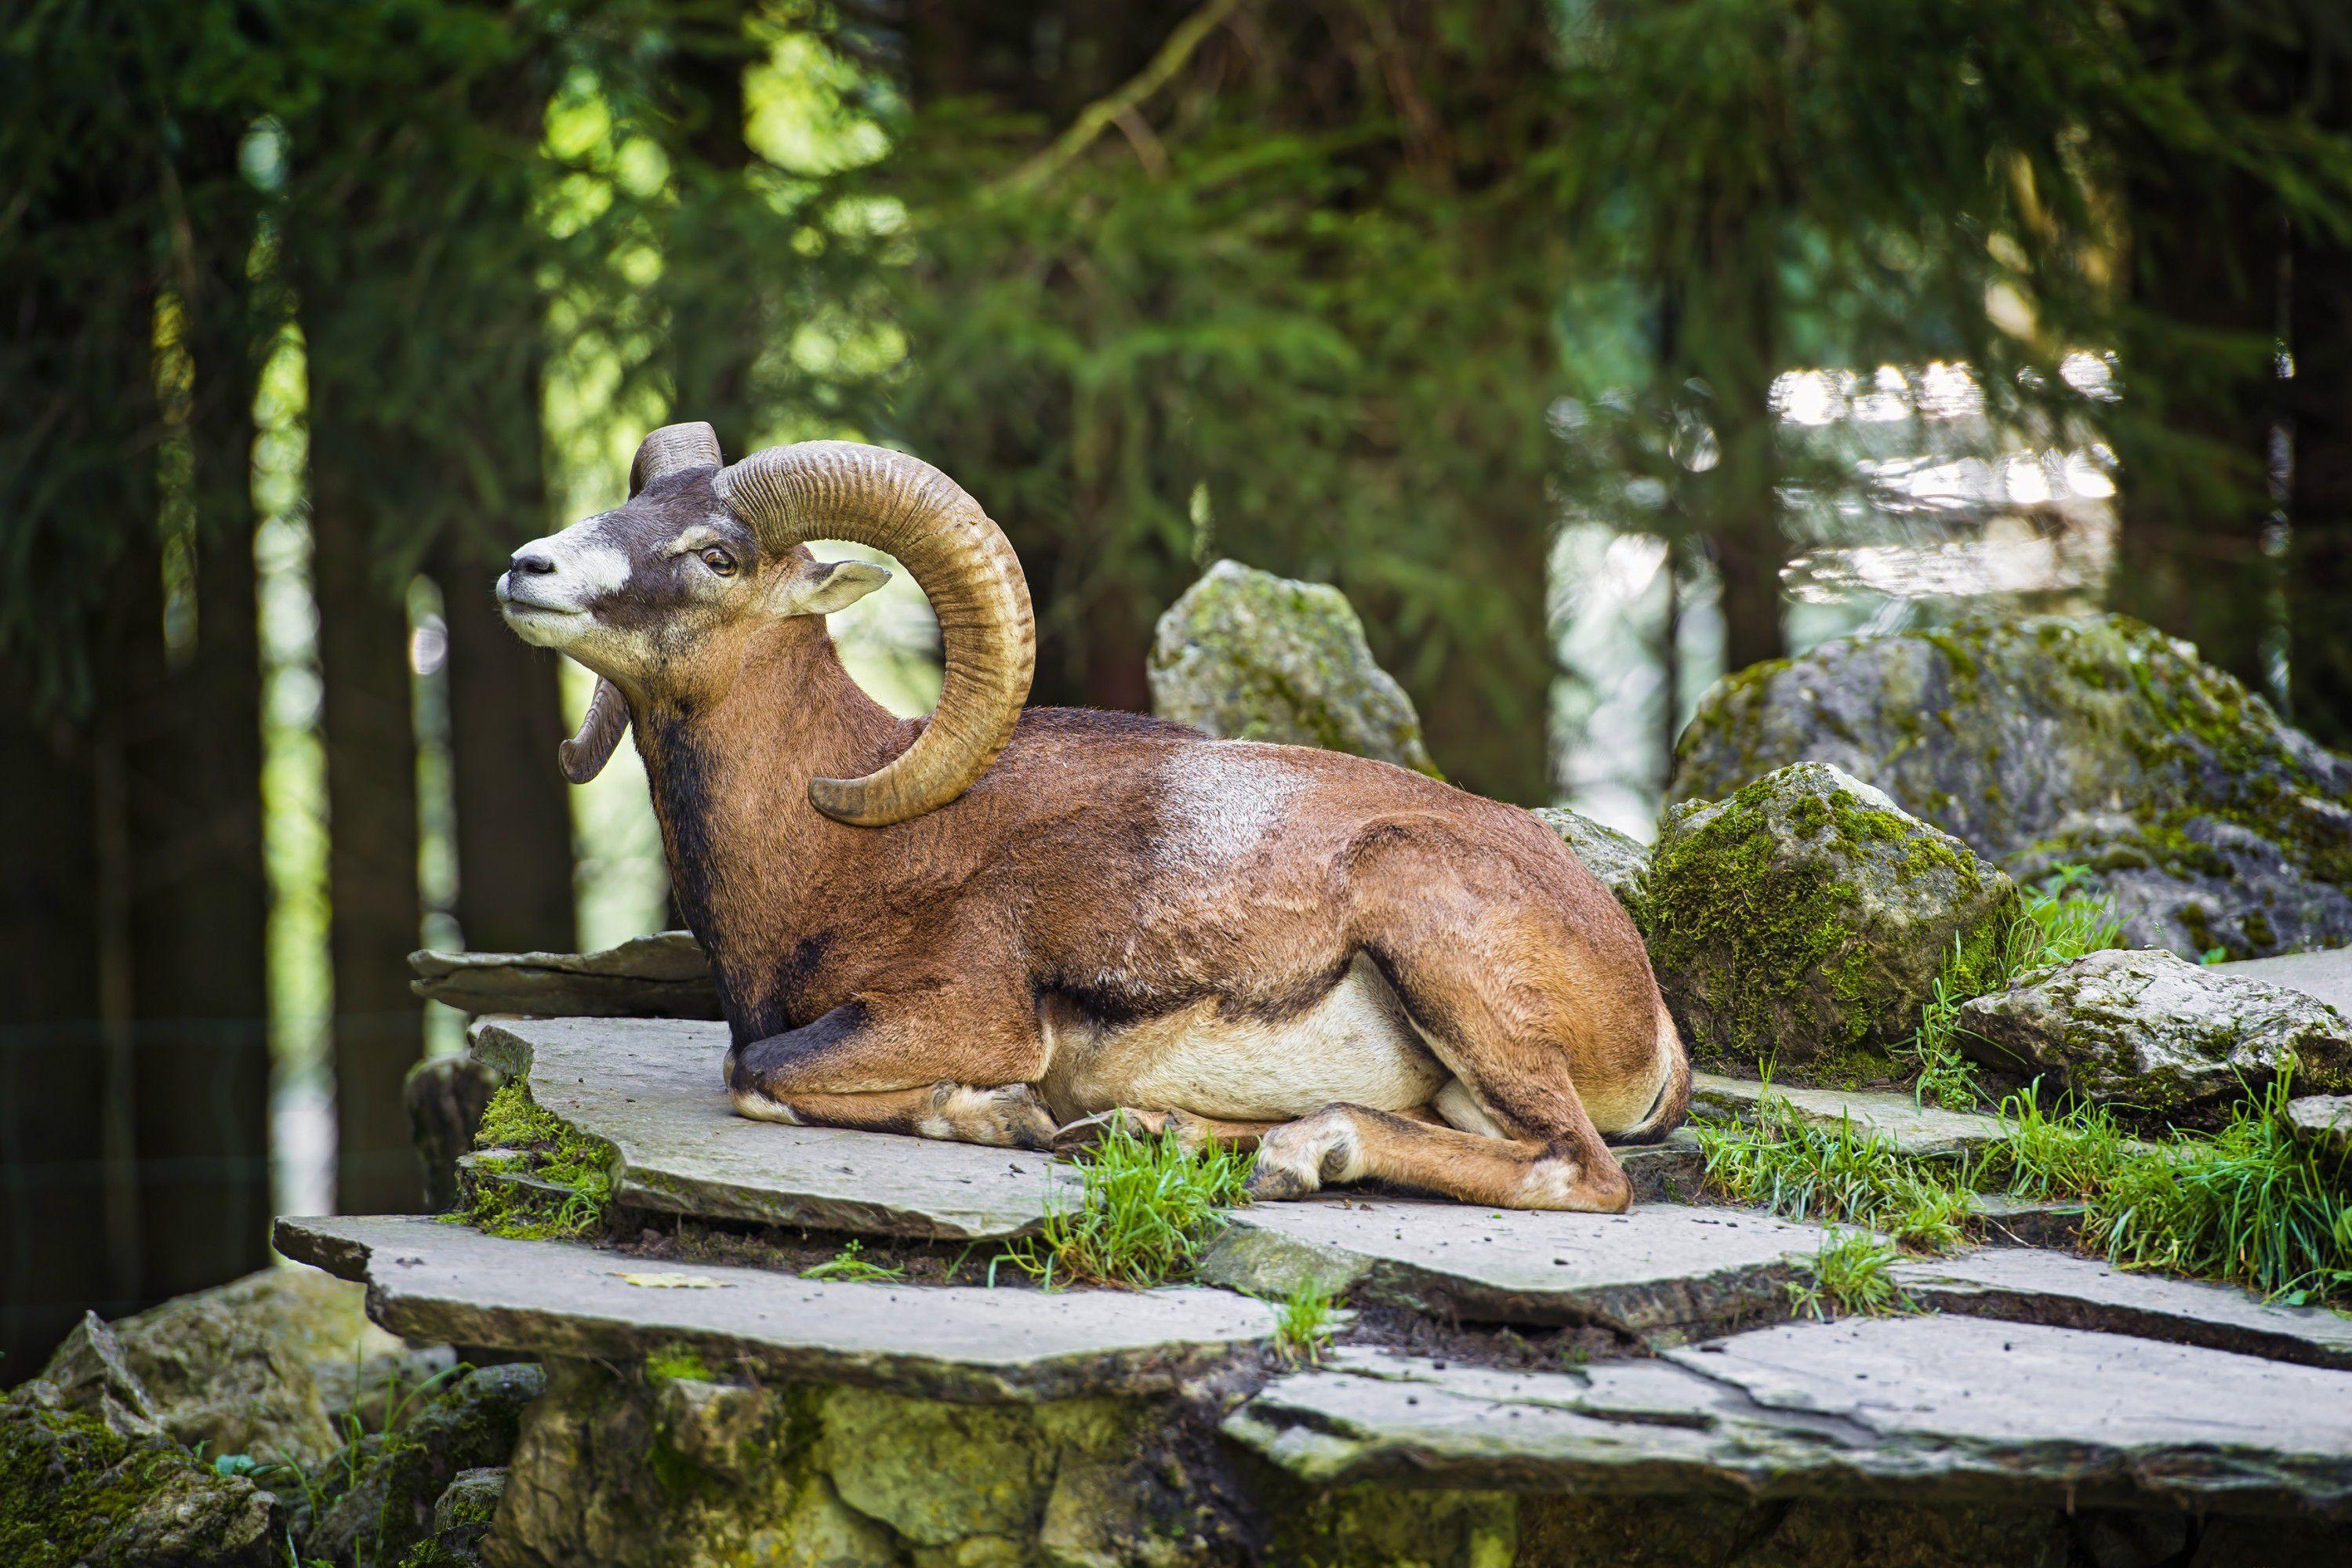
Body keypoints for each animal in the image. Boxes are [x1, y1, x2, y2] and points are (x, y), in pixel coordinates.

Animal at [499, 424, 1688, 1210]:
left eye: (716, 554)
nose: (526, 567)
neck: (839, 845)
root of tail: (1649, 1016)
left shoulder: (963, 1015)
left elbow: (759, 1075)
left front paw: (1004, 1116)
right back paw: (1145, 1129)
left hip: (1445, 957)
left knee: (1578, 1169)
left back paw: (1308, 1151)